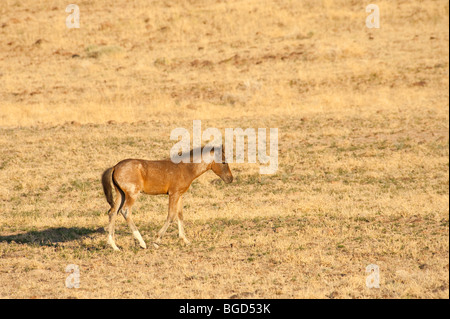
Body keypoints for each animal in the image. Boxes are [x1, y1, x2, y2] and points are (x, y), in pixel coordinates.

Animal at [100, 146, 230, 252]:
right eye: (223, 161)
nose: (230, 178)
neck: (185, 168)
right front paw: (157, 241)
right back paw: (142, 243)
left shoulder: (180, 195)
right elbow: (171, 215)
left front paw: (185, 240)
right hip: (132, 194)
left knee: (112, 212)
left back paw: (114, 246)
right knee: (125, 211)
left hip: (121, 194)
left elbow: (180, 215)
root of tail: (115, 167)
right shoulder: (173, 194)